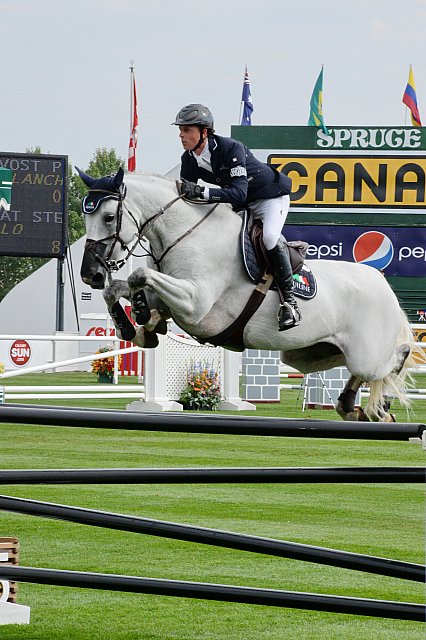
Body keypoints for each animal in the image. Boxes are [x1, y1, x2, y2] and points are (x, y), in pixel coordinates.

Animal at [78, 168, 422, 422]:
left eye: (108, 217)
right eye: (86, 218)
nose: (90, 274)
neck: (185, 234)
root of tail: (382, 284)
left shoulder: (195, 304)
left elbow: (139, 275)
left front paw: (140, 318)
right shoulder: (172, 296)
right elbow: (120, 289)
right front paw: (137, 325)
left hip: (366, 355)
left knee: (395, 358)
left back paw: (381, 404)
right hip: (308, 353)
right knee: (352, 368)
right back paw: (351, 405)